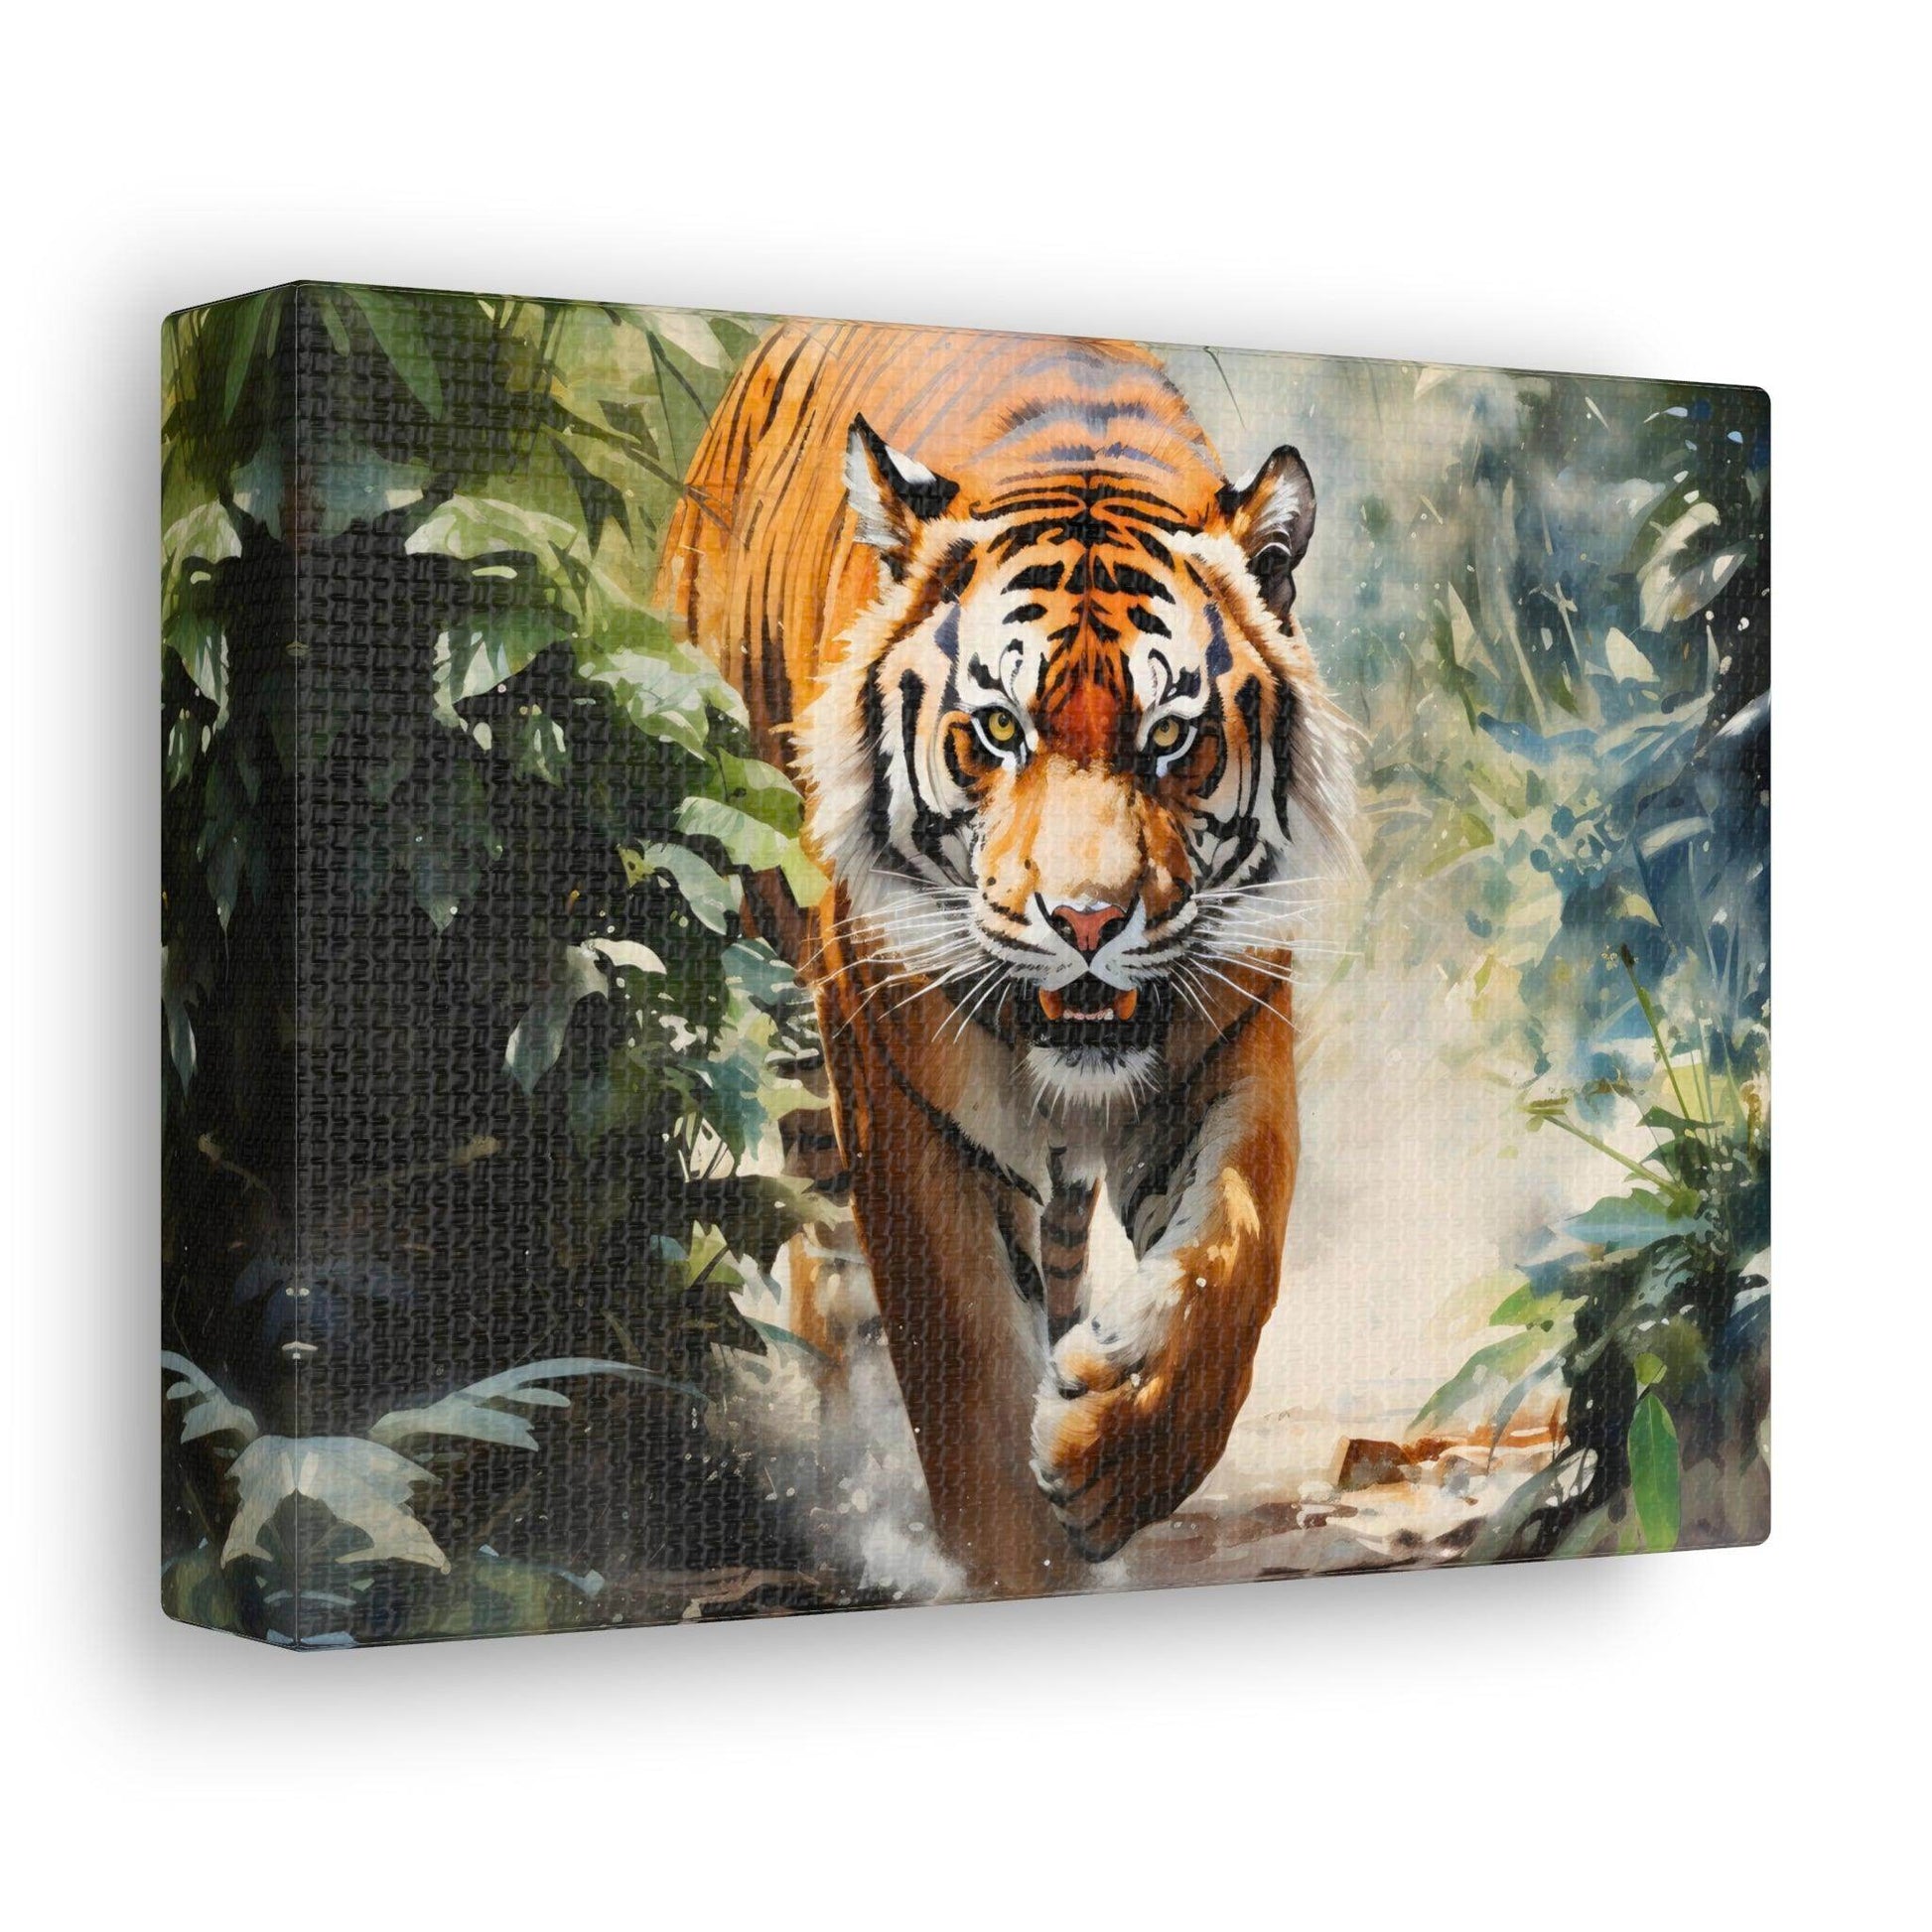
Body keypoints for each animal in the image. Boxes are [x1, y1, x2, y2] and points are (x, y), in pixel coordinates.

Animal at [656, 320, 1353, 1595]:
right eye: (996, 729)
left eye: (1168, 736)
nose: (1085, 919)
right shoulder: (902, 1093)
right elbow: (963, 1361)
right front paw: (1017, 1561)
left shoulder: (1228, 1037)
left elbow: (1234, 1251)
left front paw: (1107, 1445)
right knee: (829, 1277)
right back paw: (853, 1483)